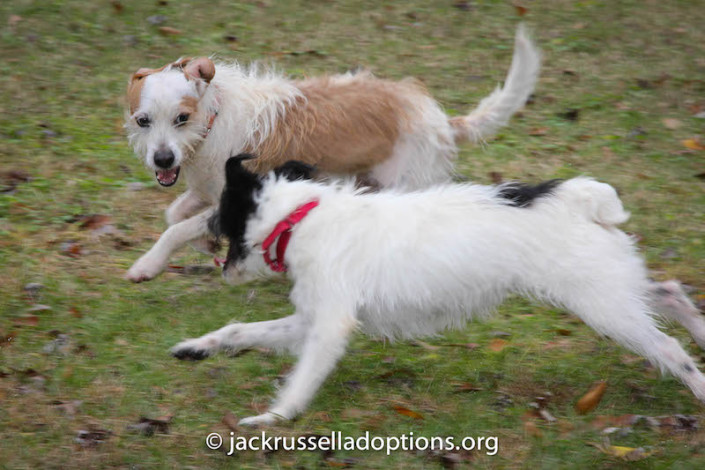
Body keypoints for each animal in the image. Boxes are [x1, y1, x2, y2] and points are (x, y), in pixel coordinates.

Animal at [124, 26, 540, 282]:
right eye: (143, 121)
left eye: (182, 118)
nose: (162, 160)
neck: (214, 117)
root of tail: (440, 121)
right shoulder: (205, 192)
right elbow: (175, 214)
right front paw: (206, 244)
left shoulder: (235, 198)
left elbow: (176, 228)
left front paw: (148, 264)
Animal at [170, 156, 704, 428]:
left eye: (223, 211)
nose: (201, 229)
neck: (300, 217)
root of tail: (577, 201)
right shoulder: (308, 320)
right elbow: (241, 329)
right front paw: (198, 347)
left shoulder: (329, 326)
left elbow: (302, 379)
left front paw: (274, 416)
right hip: (613, 286)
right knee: (669, 291)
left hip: (602, 303)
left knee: (669, 348)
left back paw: (696, 385)